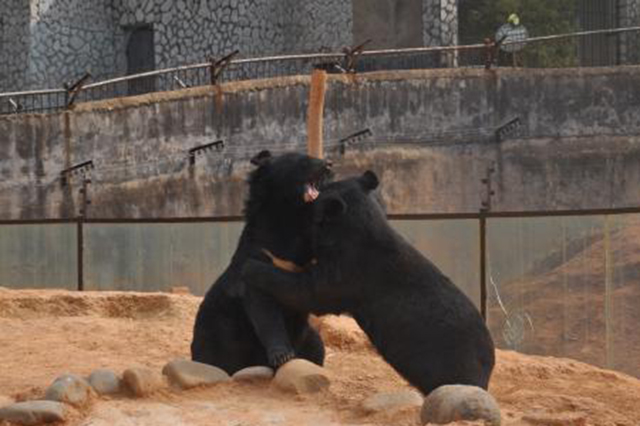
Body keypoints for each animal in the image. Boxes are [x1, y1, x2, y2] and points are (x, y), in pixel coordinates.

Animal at [190, 150, 333, 374]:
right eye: (302, 161)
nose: (329, 164)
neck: (290, 218)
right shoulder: (258, 257)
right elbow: (263, 309)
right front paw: (283, 356)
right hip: (218, 331)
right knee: (216, 356)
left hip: (309, 338)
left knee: (317, 348)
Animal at [241, 171, 496, 394]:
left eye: (313, 206)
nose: (309, 192)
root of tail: (488, 364)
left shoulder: (350, 272)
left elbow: (311, 292)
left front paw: (251, 266)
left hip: (449, 361)